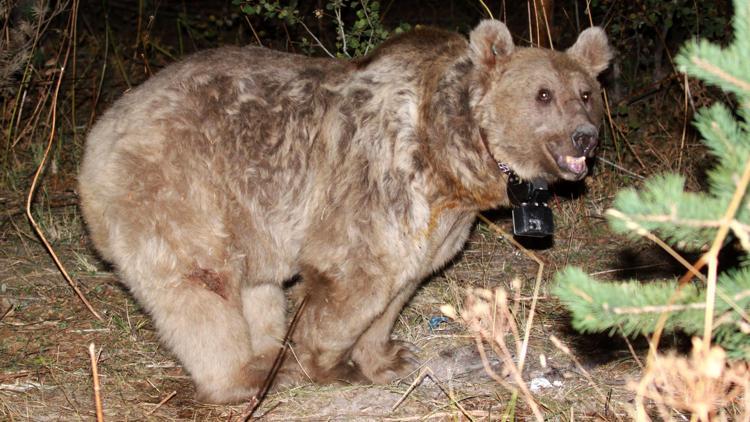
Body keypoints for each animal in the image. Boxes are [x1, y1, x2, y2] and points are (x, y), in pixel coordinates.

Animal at [79, 19, 612, 402]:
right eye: (543, 94)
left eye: (586, 93)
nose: (584, 137)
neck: (453, 154)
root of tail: (99, 138)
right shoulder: (383, 179)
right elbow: (358, 277)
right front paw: (328, 364)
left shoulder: (438, 219)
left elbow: (402, 282)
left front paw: (389, 357)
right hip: (181, 186)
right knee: (198, 286)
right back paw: (244, 377)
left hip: (246, 213)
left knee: (255, 284)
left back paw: (270, 351)